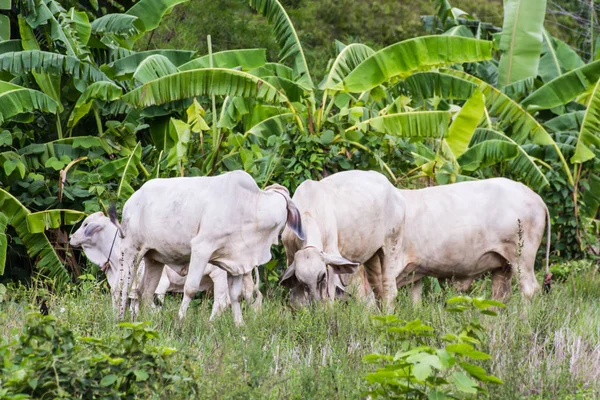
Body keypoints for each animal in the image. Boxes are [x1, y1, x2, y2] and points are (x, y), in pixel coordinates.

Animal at [68, 212, 260, 318]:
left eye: (85, 224)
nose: (70, 238)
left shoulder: (161, 285)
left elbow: (154, 306)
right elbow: (133, 309)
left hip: (219, 276)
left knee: (222, 302)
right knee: (252, 299)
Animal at [109, 170, 302, 324]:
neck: (252, 207)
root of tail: (132, 200)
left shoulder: (237, 261)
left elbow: (235, 295)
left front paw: (239, 325)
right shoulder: (202, 248)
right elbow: (190, 288)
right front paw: (180, 320)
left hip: (153, 258)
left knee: (145, 292)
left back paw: (145, 322)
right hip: (131, 251)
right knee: (121, 288)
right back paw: (118, 319)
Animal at [280, 170, 406, 308]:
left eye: (322, 276)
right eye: (301, 280)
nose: (315, 302)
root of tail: (393, 189)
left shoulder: (330, 259)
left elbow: (328, 299)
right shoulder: (290, 256)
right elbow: (297, 301)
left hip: (392, 244)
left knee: (389, 289)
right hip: (372, 256)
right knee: (377, 290)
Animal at [396, 179, 552, 304]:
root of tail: (537, 198)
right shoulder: (415, 272)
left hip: (521, 257)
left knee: (529, 290)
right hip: (503, 265)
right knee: (500, 295)